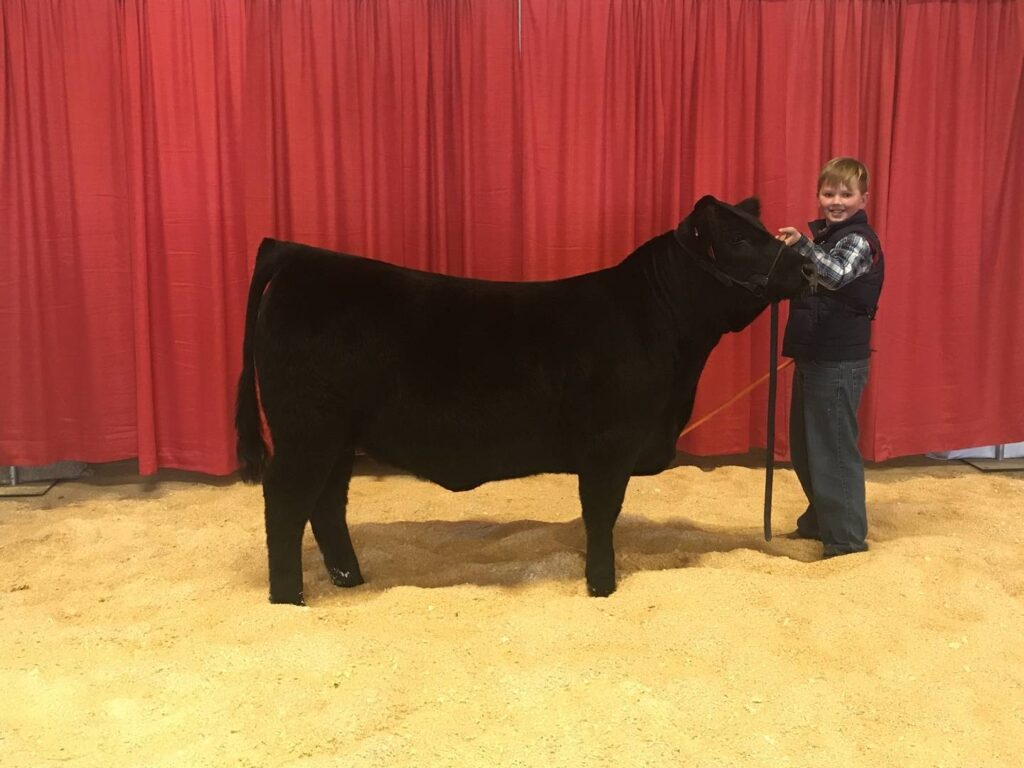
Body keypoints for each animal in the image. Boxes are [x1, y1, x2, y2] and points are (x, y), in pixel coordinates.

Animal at [236, 196, 814, 605]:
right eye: (738, 239)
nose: (807, 268)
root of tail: (297, 255)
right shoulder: (609, 443)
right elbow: (600, 513)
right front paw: (602, 586)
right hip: (307, 429)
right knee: (286, 501)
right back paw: (289, 598)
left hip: (336, 435)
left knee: (326, 504)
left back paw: (349, 579)